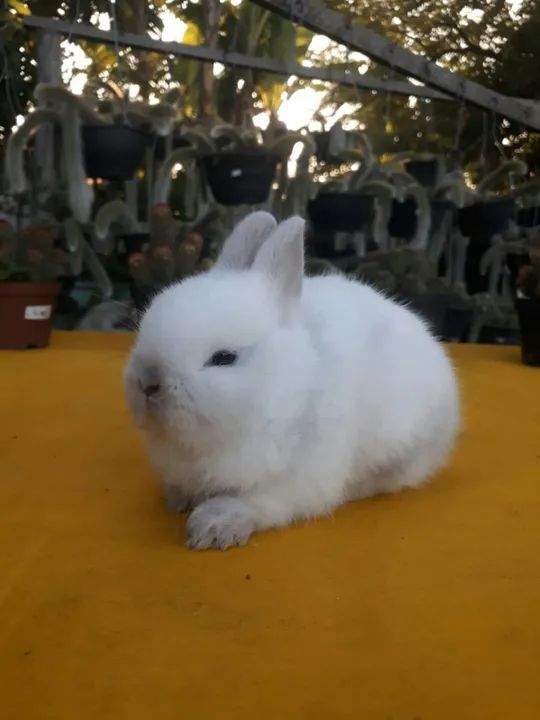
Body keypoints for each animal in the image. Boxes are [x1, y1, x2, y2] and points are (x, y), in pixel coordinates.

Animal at [125, 211, 460, 550]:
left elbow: (259, 502)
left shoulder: (296, 479)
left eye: (224, 358)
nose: (148, 382)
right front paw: (179, 500)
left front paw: (213, 526)